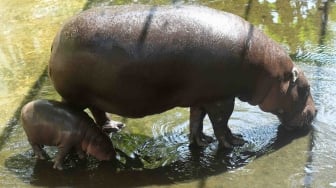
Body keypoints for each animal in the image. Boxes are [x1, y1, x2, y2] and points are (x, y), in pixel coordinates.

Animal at [48, 4, 316, 148]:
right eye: (306, 88)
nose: (315, 112)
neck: (268, 72)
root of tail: (56, 39)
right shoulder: (221, 98)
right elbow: (222, 123)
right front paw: (236, 142)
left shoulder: (201, 97)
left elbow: (197, 119)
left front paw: (201, 142)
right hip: (74, 96)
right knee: (73, 113)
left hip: (94, 95)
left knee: (98, 111)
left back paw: (114, 126)